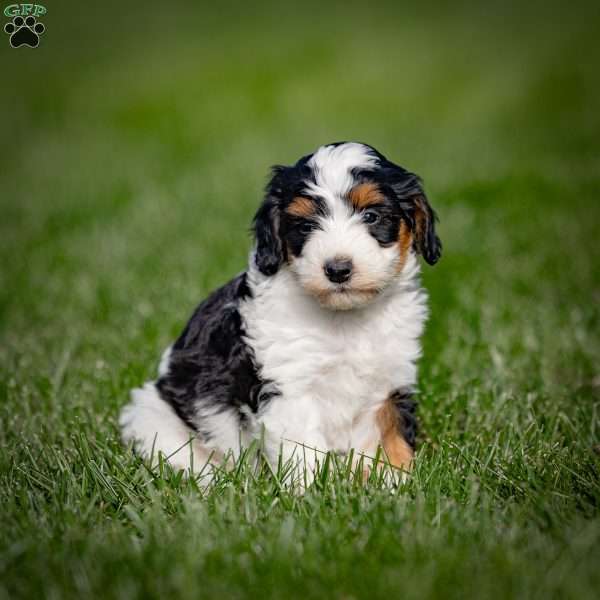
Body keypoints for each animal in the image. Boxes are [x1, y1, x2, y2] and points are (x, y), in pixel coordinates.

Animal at [120, 143, 440, 486]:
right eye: (305, 226)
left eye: (371, 215)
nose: (338, 269)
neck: (344, 320)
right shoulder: (288, 387)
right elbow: (303, 451)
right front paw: (312, 491)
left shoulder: (388, 383)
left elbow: (387, 437)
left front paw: (394, 483)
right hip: (154, 417)